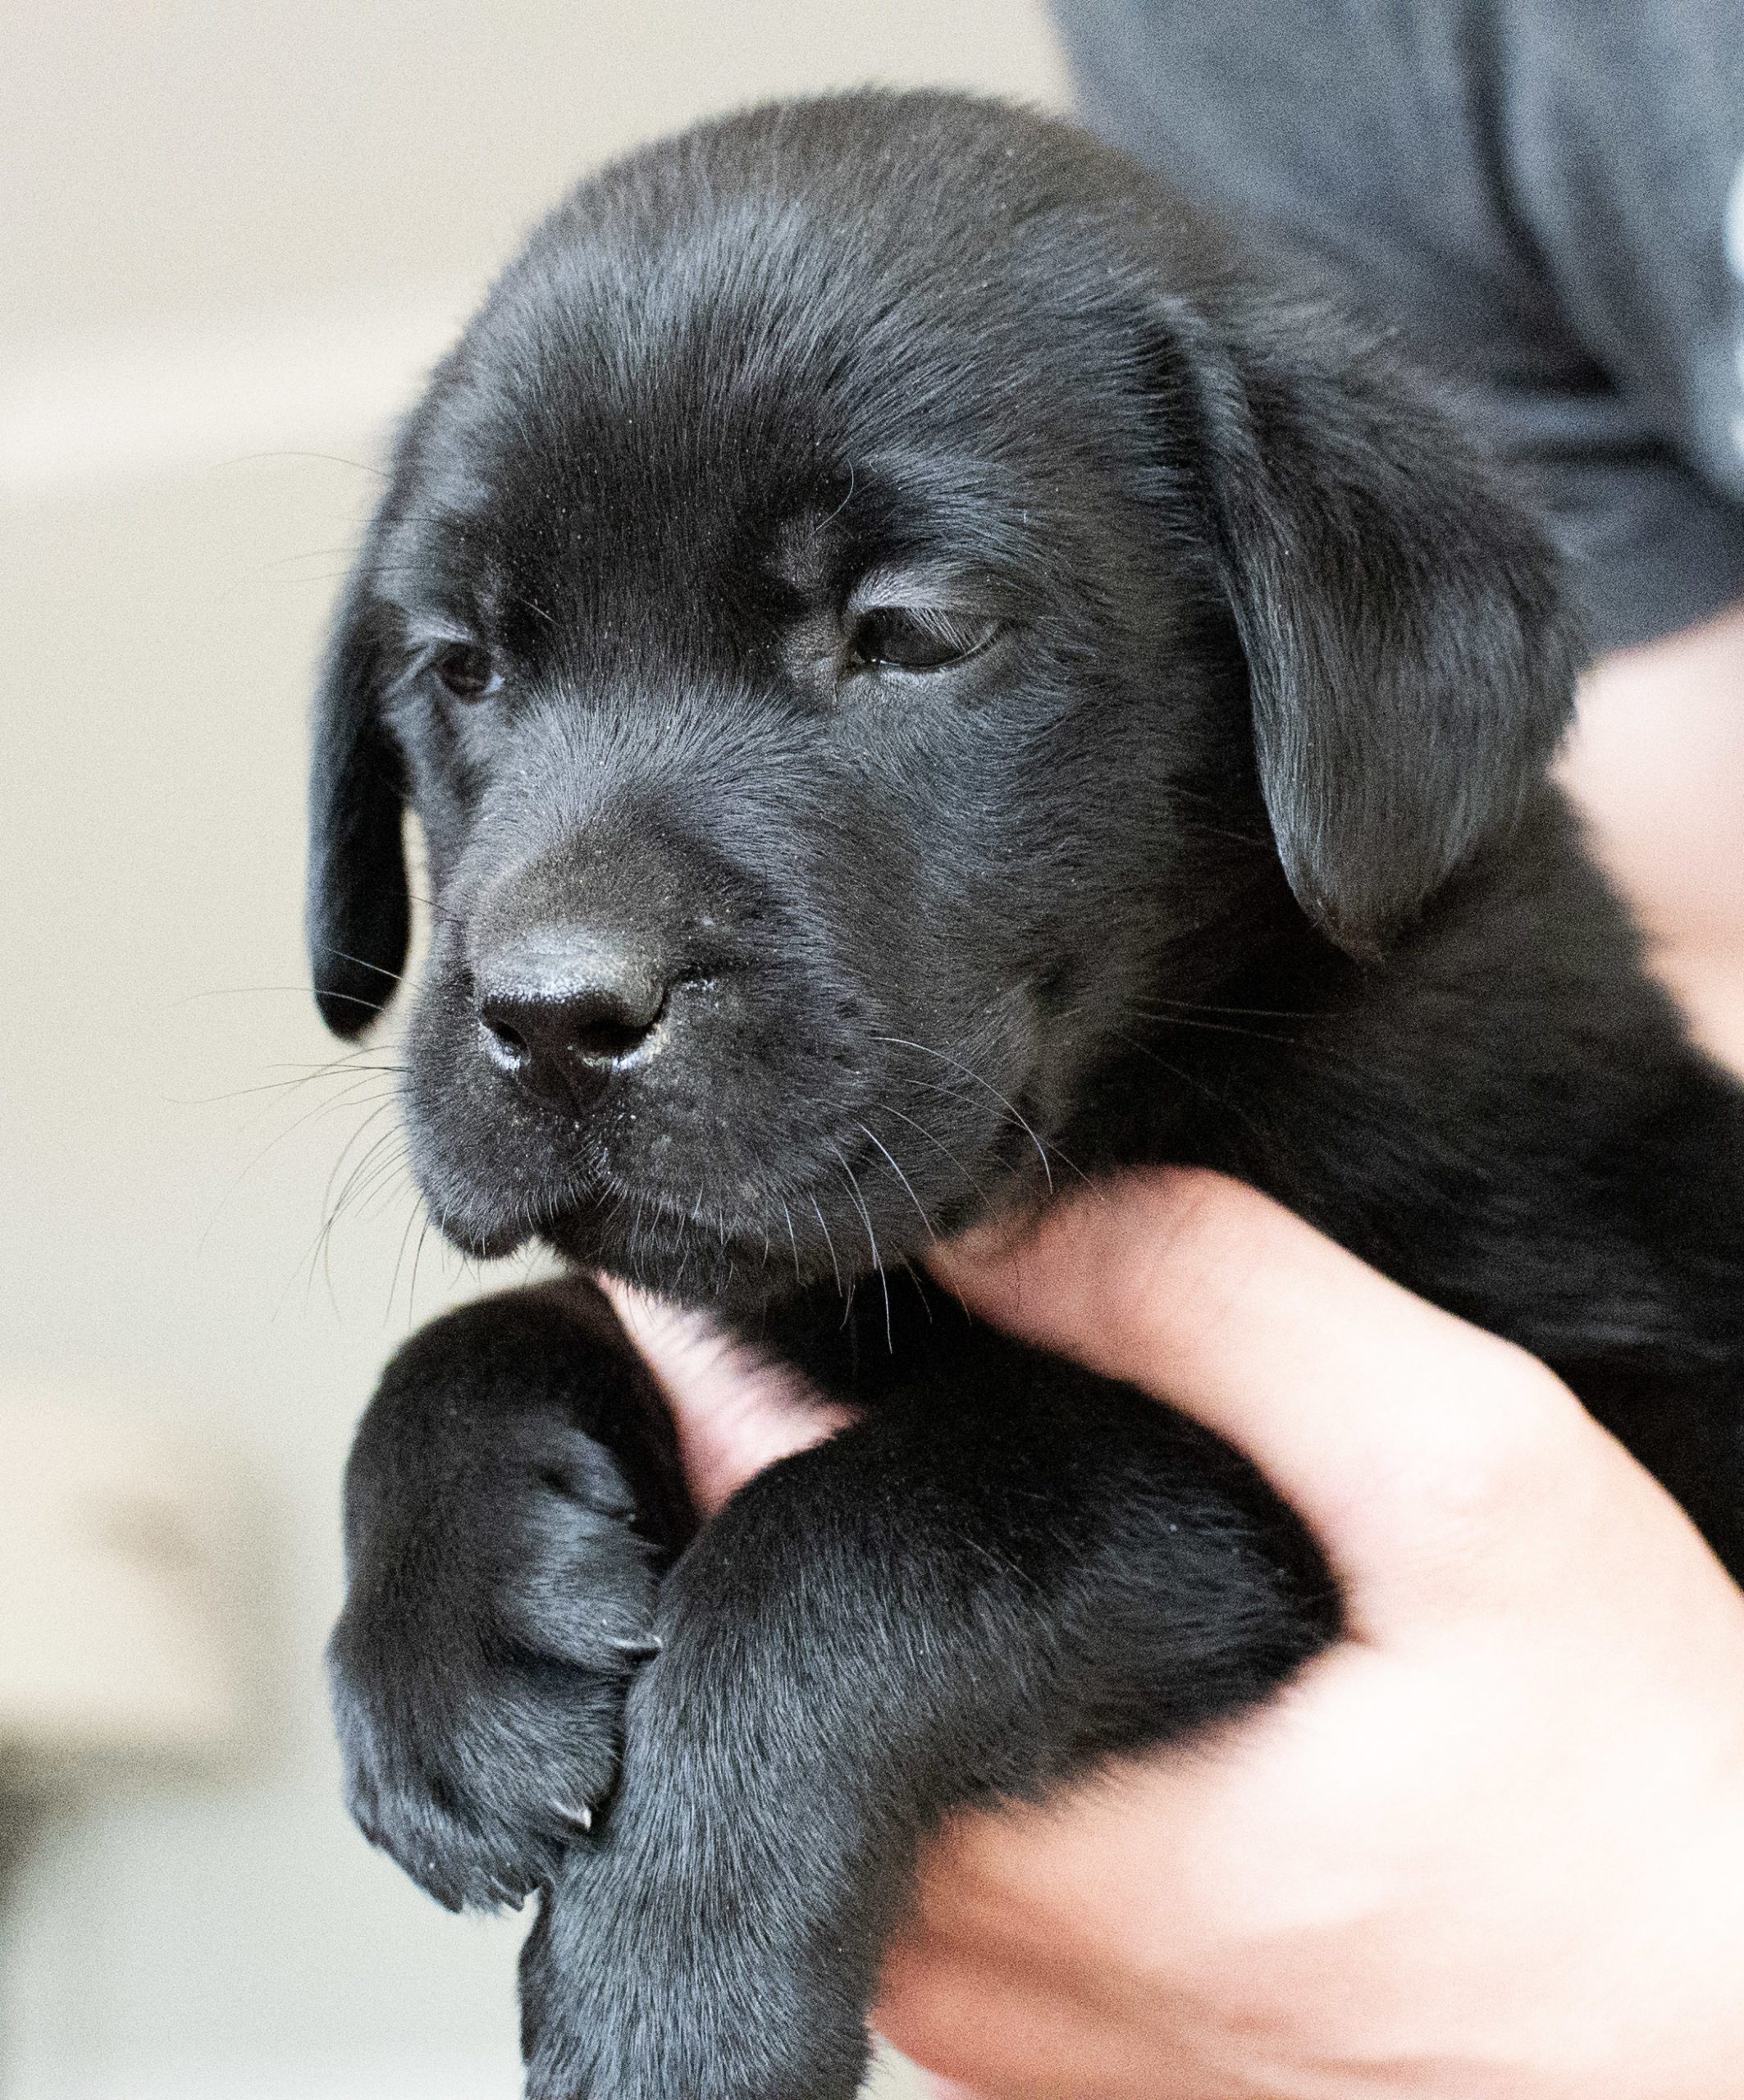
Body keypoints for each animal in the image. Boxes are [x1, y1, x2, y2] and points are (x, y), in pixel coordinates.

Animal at [311, 90, 1744, 2100]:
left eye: (909, 634)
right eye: (461, 667)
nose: (552, 1013)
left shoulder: (1557, 1387)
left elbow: (906, 1513)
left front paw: (674, 1973)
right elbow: (495, 1326)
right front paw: (447, 1642)